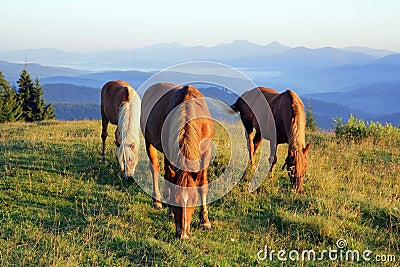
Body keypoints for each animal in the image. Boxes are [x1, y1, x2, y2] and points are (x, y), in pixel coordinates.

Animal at [141, 82, 216, 240]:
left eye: (193, 201)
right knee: (155, 168)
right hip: (149, 141)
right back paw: (157, 201)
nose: (183, 234)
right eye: (176, 201)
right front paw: (170, 210)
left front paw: (205, 220)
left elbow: (202, 184)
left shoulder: (206, 153)